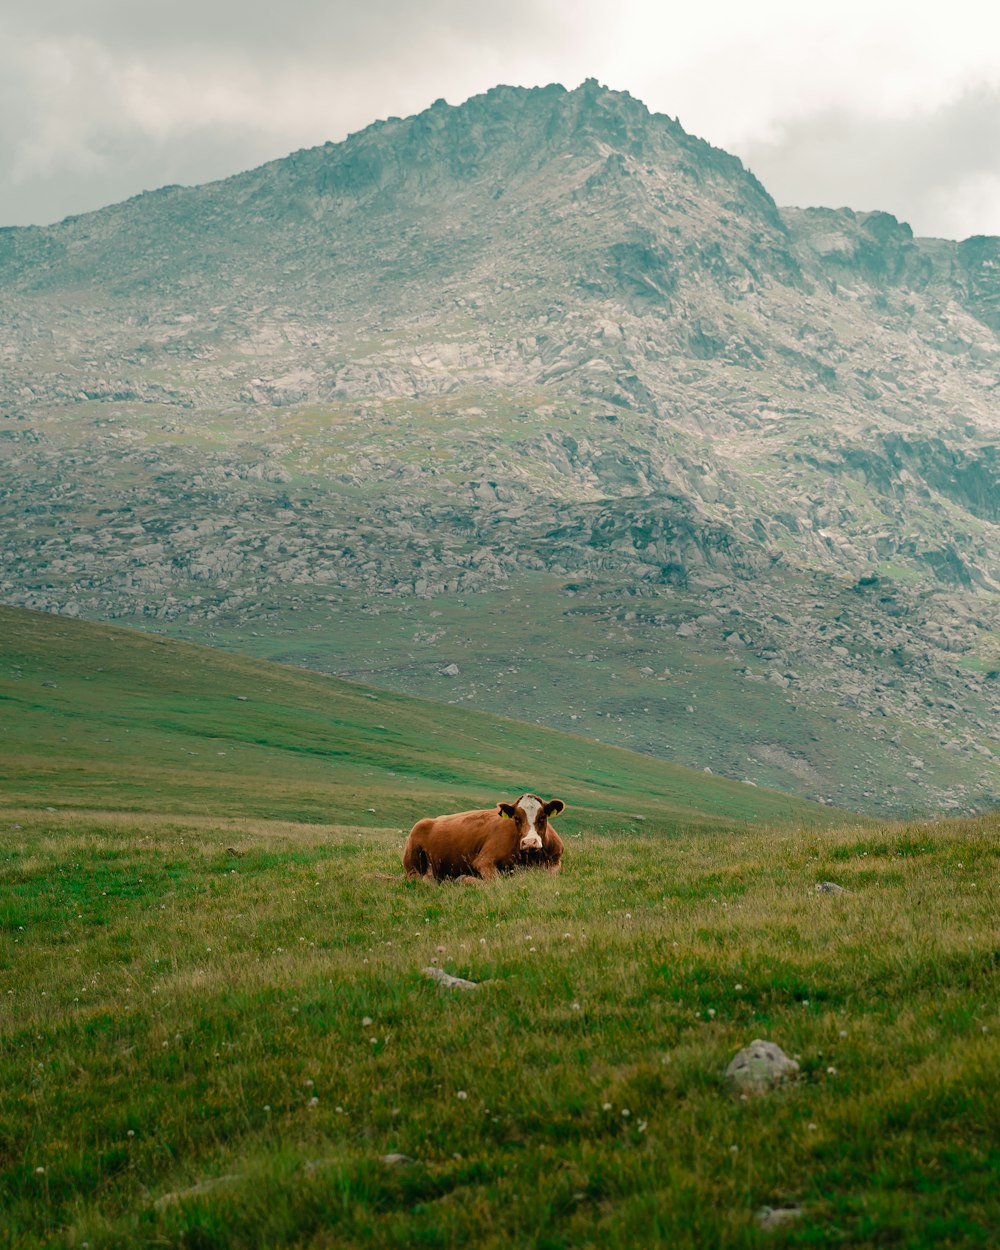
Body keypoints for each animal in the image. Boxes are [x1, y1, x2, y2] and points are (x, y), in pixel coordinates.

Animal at [402, 790, 567, 880]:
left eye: (542, 817)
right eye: (517, 818)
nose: (529, 842)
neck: (530, 858)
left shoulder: (556, 860)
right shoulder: (484, 861)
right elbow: (496, 881)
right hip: (413, 860)